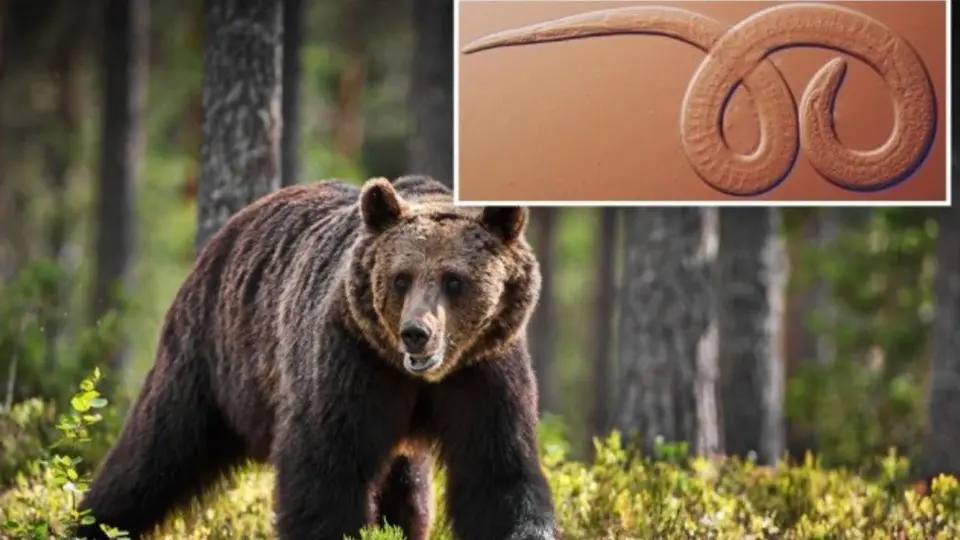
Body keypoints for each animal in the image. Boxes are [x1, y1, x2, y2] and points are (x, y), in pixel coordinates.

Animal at [74, 175, 558, 540]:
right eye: (402, 277)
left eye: (454, 280)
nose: (416, 334)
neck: (419, 379)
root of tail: (232, 227)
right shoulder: (351, 360)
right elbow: (326, 470)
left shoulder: (484, 372)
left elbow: (498, 475)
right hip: (210, 357)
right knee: (156, 448)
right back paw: (94, 522)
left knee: (408, 491)